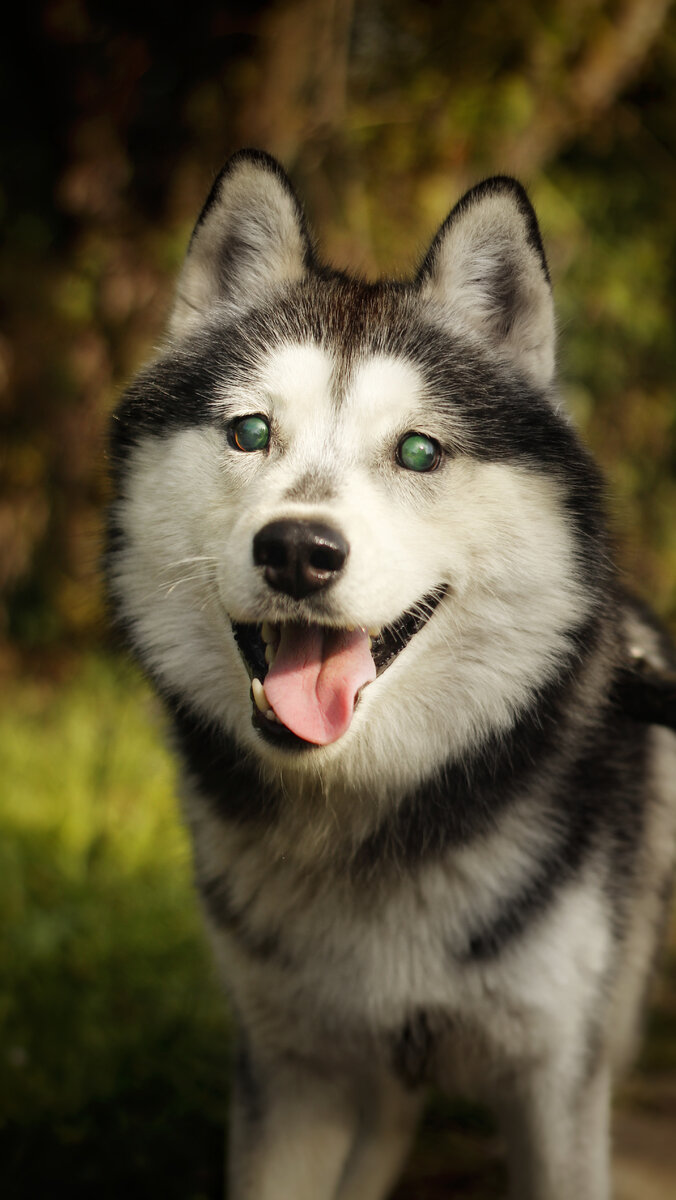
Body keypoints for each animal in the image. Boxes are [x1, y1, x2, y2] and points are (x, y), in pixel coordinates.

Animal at [105, 152, 676, 1200]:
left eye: (418, 449)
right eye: (250, 432)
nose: (298, 549)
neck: (370, 823)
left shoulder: (555, 1087)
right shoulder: (291, 1074)